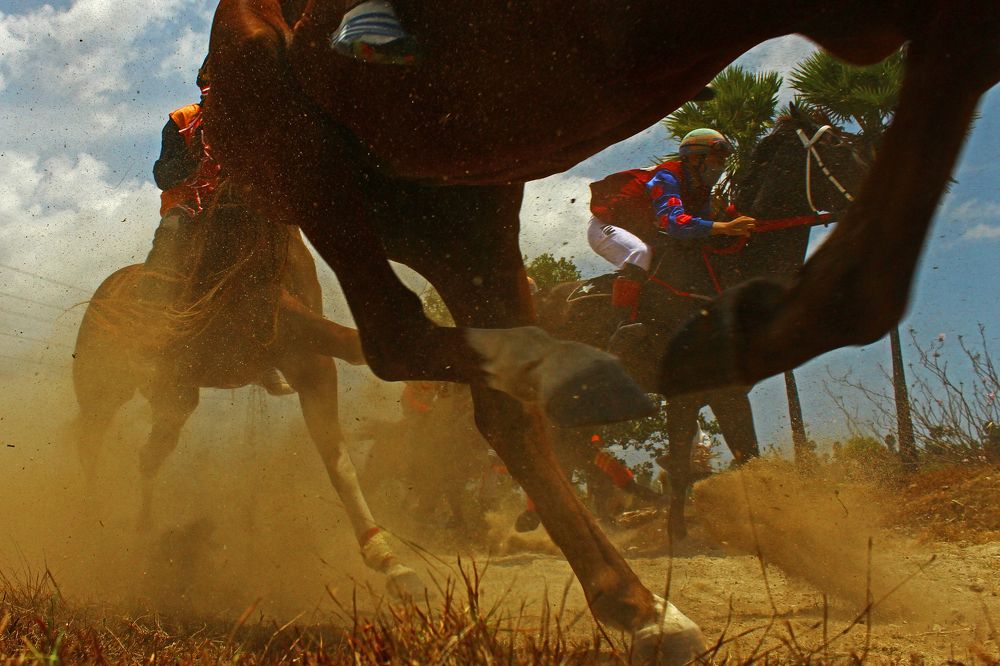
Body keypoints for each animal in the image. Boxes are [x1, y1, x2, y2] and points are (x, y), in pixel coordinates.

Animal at [72, 185, 422, 597]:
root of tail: (105, 292)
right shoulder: (293, 338)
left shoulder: (310, 363)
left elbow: (339, 461)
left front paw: (391, 562)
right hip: (103, 390)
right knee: (89, 441)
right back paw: (91, 519)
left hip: (175, 400)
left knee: (149, 456)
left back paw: (143, 532)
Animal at [534, 108, 867, 540]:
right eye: (838, 145)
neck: (729, 272)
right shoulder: (685, 394)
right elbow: (681, 468)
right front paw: (678, 534)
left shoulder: (727, 392)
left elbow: (746, 458)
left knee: (571, 451)